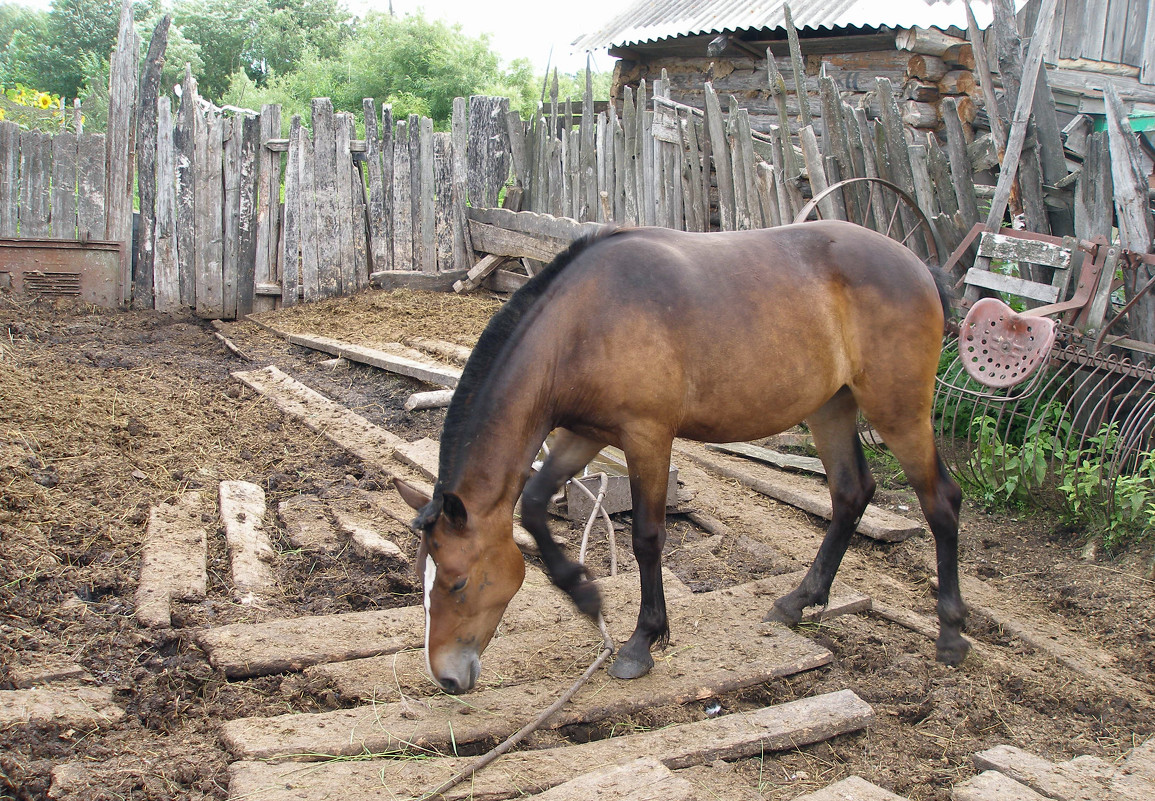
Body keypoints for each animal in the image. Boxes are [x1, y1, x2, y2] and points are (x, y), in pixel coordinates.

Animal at [397, 221, 965, 697]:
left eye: (457, 581)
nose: (446, 677)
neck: (582, 321)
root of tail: (920, 268)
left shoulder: (646, 436)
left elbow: (648, 538)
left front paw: (641, 641)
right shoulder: (585, 433)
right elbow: (534, 508)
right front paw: (585, 595)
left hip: (897, 410)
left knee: (940, 501)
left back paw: (952, 634)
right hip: (831, 406)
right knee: (851, 493)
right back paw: (798, 601)